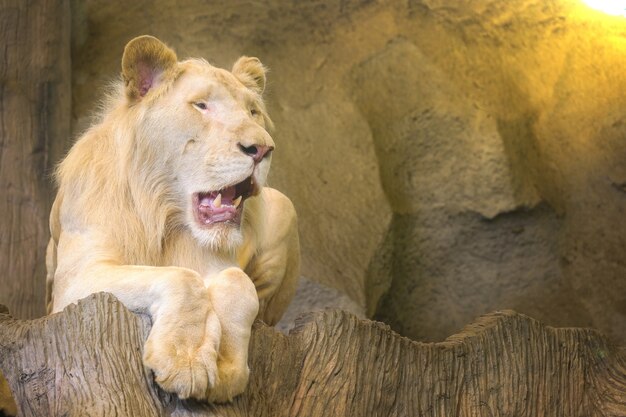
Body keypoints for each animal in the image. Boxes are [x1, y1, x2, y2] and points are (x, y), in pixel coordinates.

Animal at [45, 36, 298, 404]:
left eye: (253, 112)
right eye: (202, 105)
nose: (263, 149)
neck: (164, 215)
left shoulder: (218, 261)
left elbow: (239, 283)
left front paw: (224, 367)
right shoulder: (74, 282)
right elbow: (182, 278)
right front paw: (184, 360)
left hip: (283, 204)